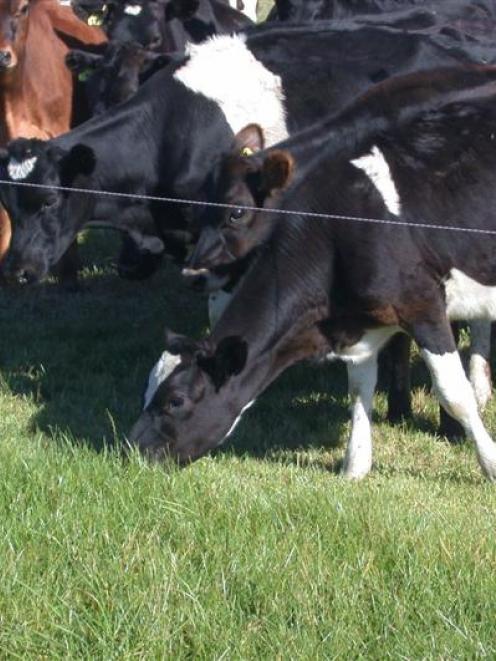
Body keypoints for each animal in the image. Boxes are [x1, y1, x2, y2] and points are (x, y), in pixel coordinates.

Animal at [128, 65, 496, 480]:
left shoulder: (422, 304)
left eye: (175, 401)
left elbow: (454, 394)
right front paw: (354, 467)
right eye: (147, 392)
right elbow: (360, 387)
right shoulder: (362, 321)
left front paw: (489, 464)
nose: (131, 449)